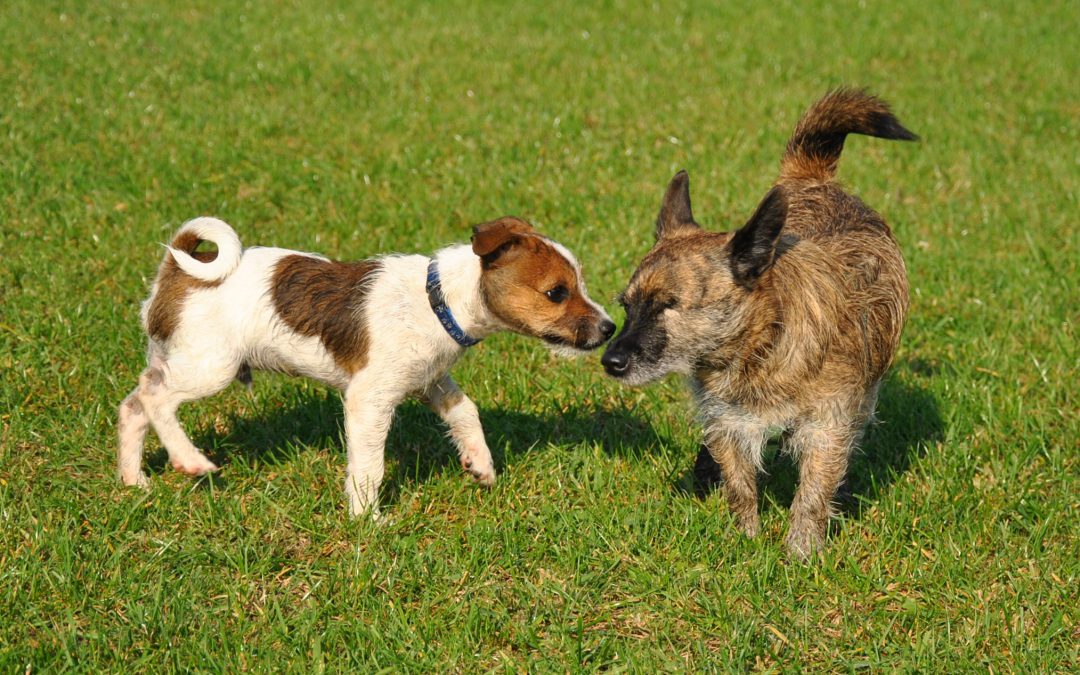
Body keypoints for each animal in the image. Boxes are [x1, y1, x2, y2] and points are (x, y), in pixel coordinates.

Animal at [116, 216, 617, 516]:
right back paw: (189, 461)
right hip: (211, 367)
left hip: (178, 360)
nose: (610, 328)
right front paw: (368, 519)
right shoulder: (370, 399)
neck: (438, 300)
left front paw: (480, 463)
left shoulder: (431, 381)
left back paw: (134, 480)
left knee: (133, 405)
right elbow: (369, 465)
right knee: (156, 400)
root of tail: (178, 268)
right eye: (556, 293)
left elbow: (467, 413)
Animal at [604, 88, 915, 557]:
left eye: (666, 306)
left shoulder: (827, 427)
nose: (611, 361)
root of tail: (813, 178)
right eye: (627, 307)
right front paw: (744, 541)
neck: (763, 347)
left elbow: (811, 496)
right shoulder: (728, 422)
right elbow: (740, 487)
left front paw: (800, 555)